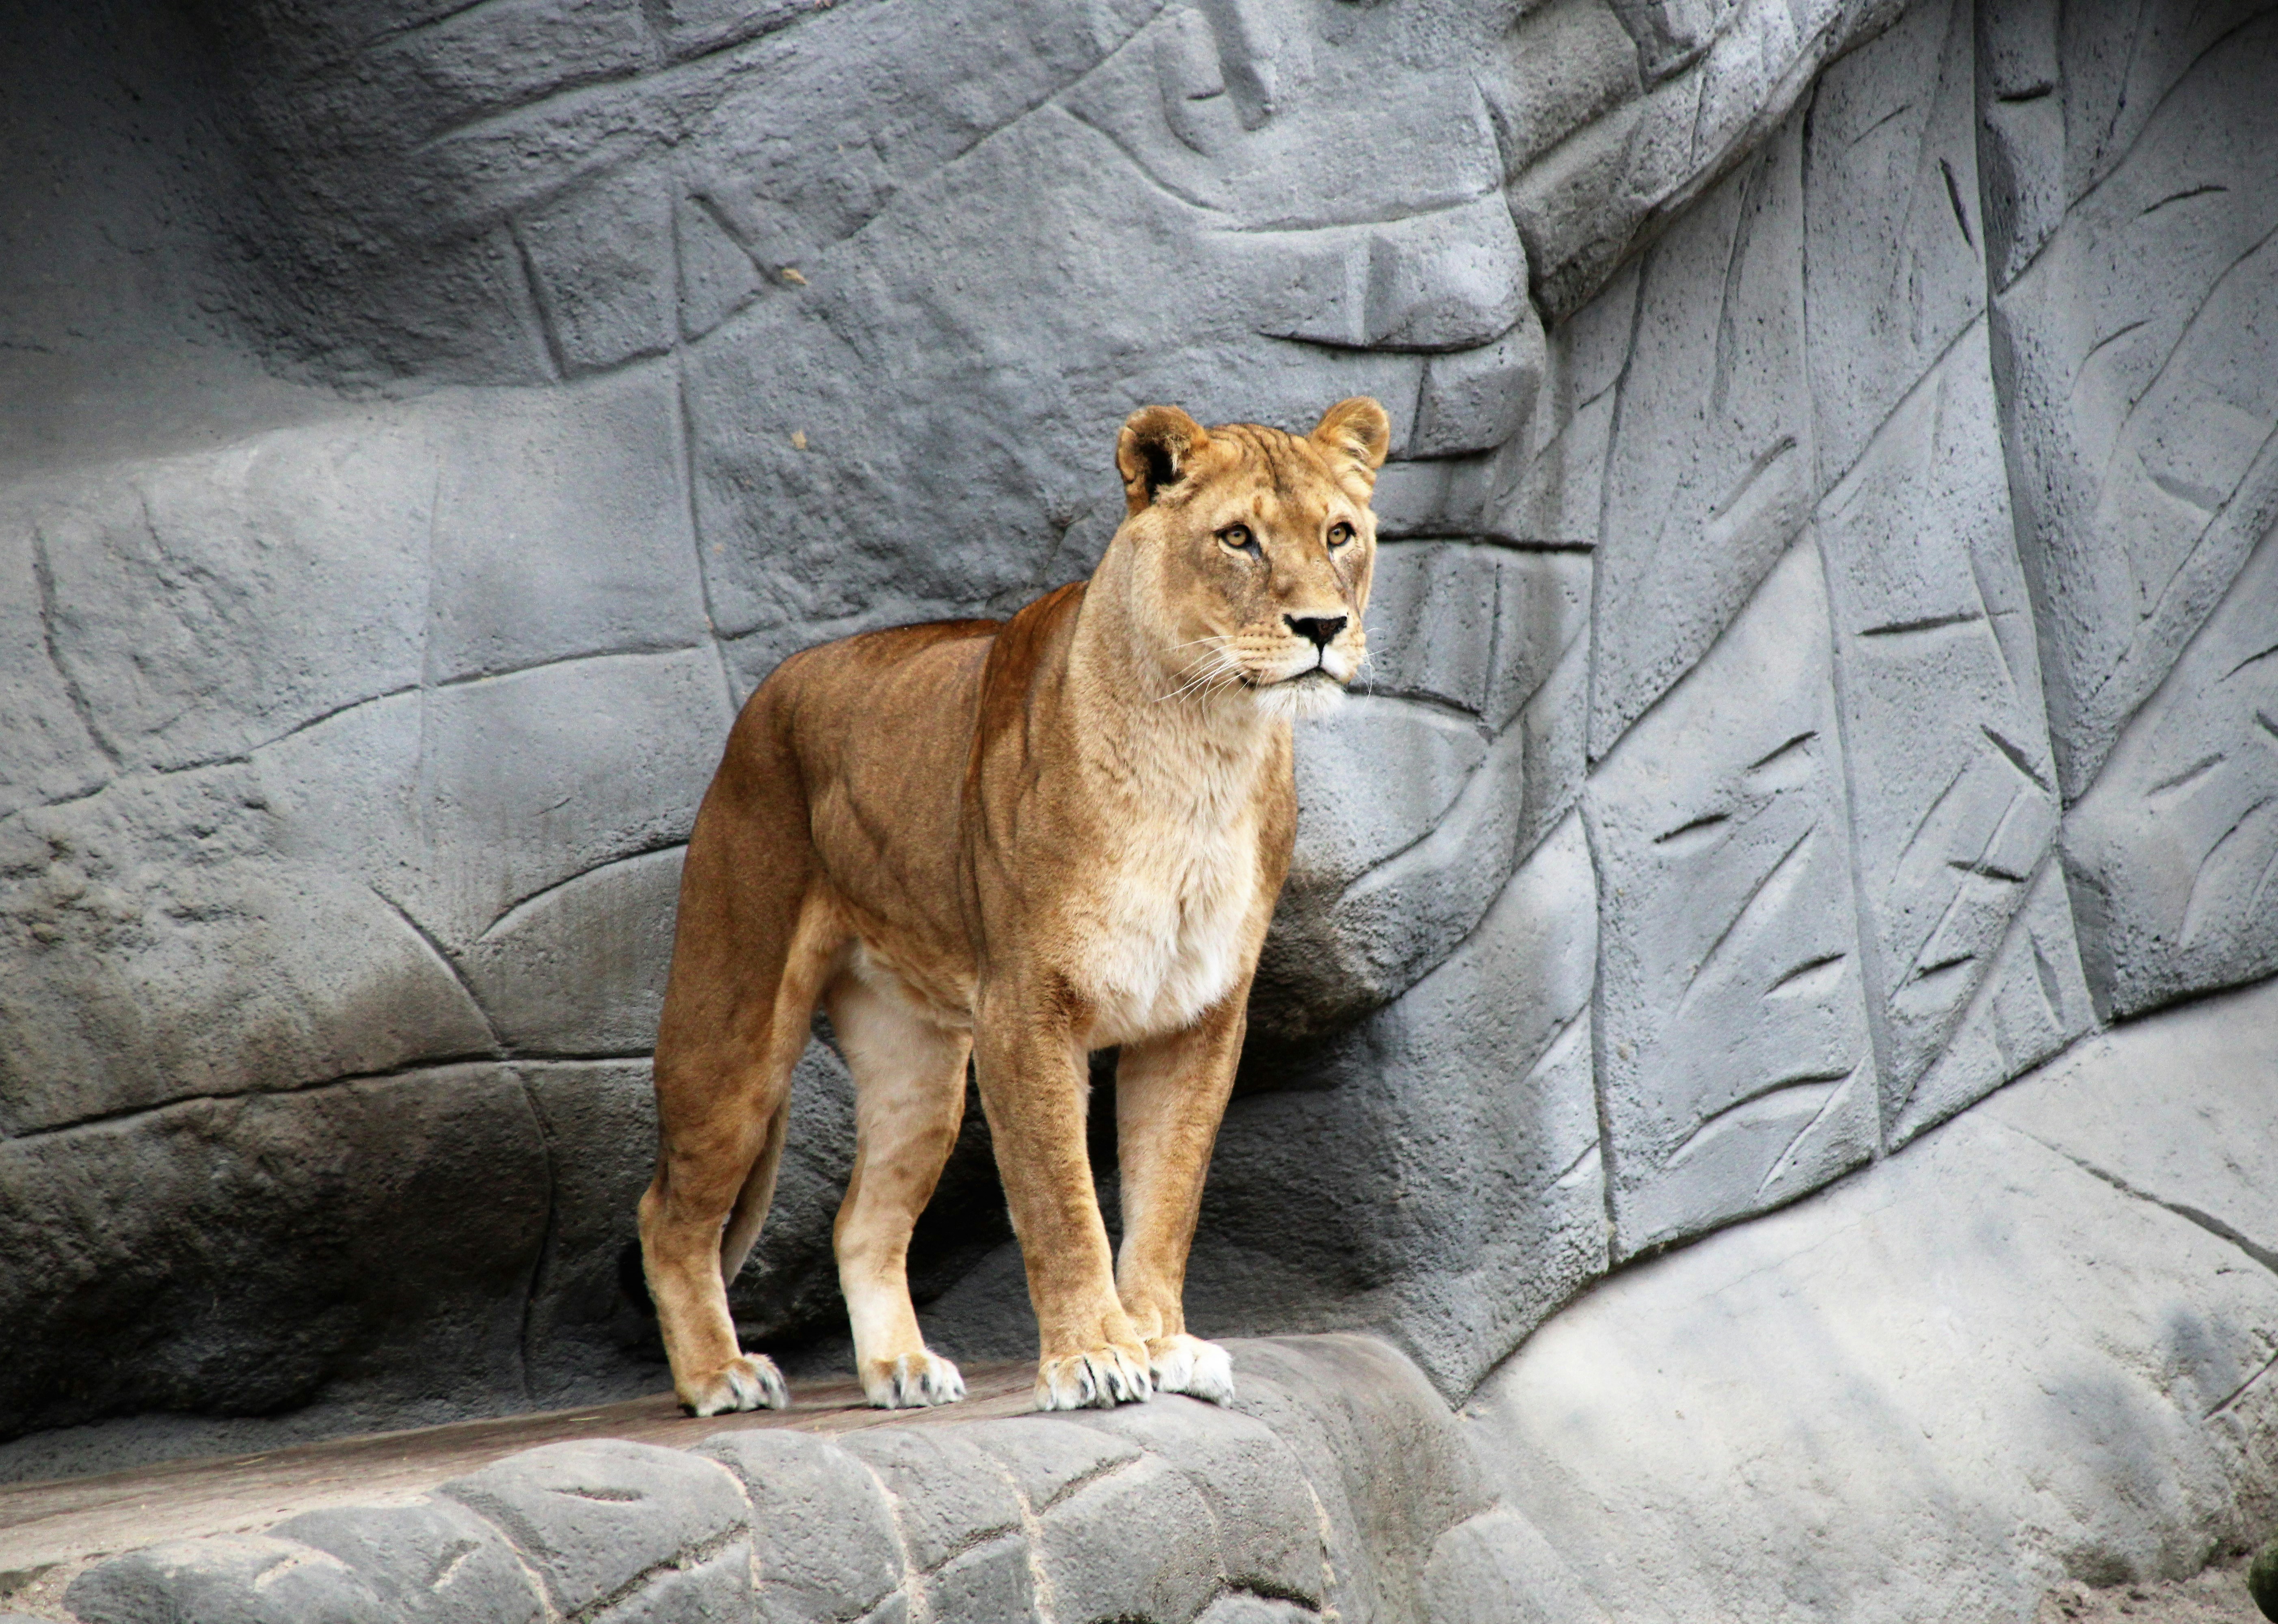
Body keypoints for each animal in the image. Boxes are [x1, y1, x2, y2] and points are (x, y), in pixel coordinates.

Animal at [638, 396, 1391, 1414]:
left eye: (1339, 533)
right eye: (1238, 538)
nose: (1322, 625)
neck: (1204, 750)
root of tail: (770, 691)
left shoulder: (1198, 1017)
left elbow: (1168, 1195)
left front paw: (1165, 1342)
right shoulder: (1026, 1009)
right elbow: (1060, 1198)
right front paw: (1096, 1355)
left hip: (917, 1064)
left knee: (861, 1218)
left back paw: (901, 1367)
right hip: (734, 1020)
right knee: (671, 1211)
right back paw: (721, 1373)